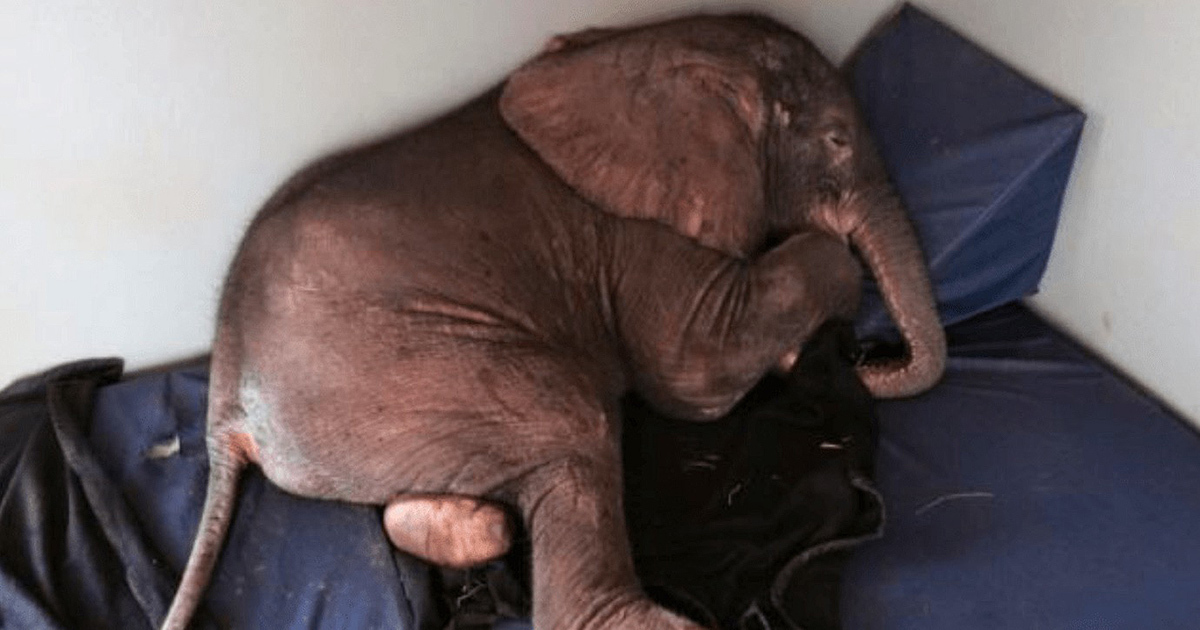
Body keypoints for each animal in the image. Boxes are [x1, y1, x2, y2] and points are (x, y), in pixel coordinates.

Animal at [161, 13, 945, 630]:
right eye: (838, 142)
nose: (869, 354)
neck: (662, 46)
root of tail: (225, 407)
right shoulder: (639, 234)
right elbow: (693, 372)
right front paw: (796, 339)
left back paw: (474, 528)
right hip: (400, 369)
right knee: (572, 421)